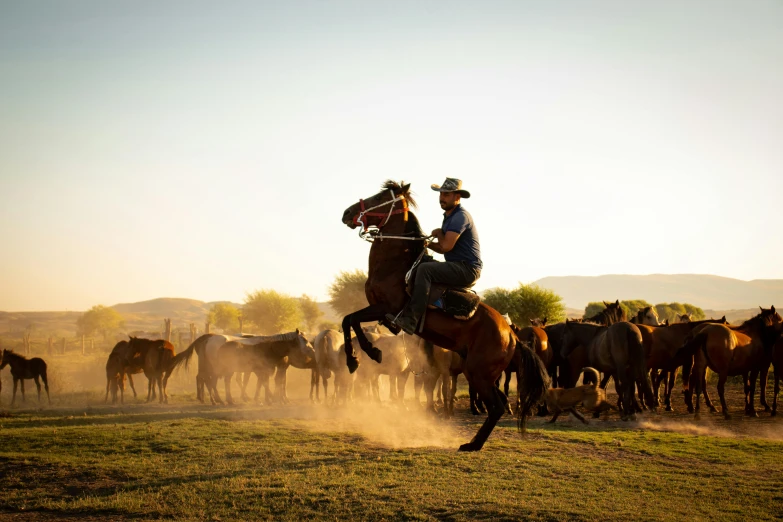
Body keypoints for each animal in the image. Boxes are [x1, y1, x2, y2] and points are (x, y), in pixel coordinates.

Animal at [340, 179, 548, 446]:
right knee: (498, 403)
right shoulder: (379, 312)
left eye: (379, 198)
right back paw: (473, 443)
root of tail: (511, 336)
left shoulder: (386, 308)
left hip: (479, 372)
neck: (396, 267)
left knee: (497, 406)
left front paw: (365, 355)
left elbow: (351, 320)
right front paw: (358, 357)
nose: (347, 213)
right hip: (483, 373)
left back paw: (472, 445)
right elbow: (348, 321)